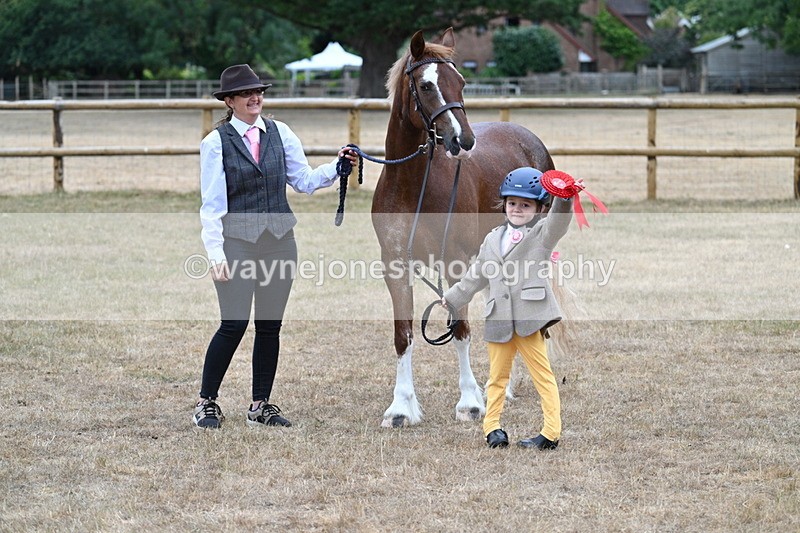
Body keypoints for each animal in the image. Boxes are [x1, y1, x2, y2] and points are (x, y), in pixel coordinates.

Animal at [371, 27, 556, 428]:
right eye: (426, 85)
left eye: (461, 82)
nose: (464, 139)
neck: (413, 186)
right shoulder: (395, 266)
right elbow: (403, 335)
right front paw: (401, 408)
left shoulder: (455, 263)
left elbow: (460, 329)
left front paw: (470, 402)